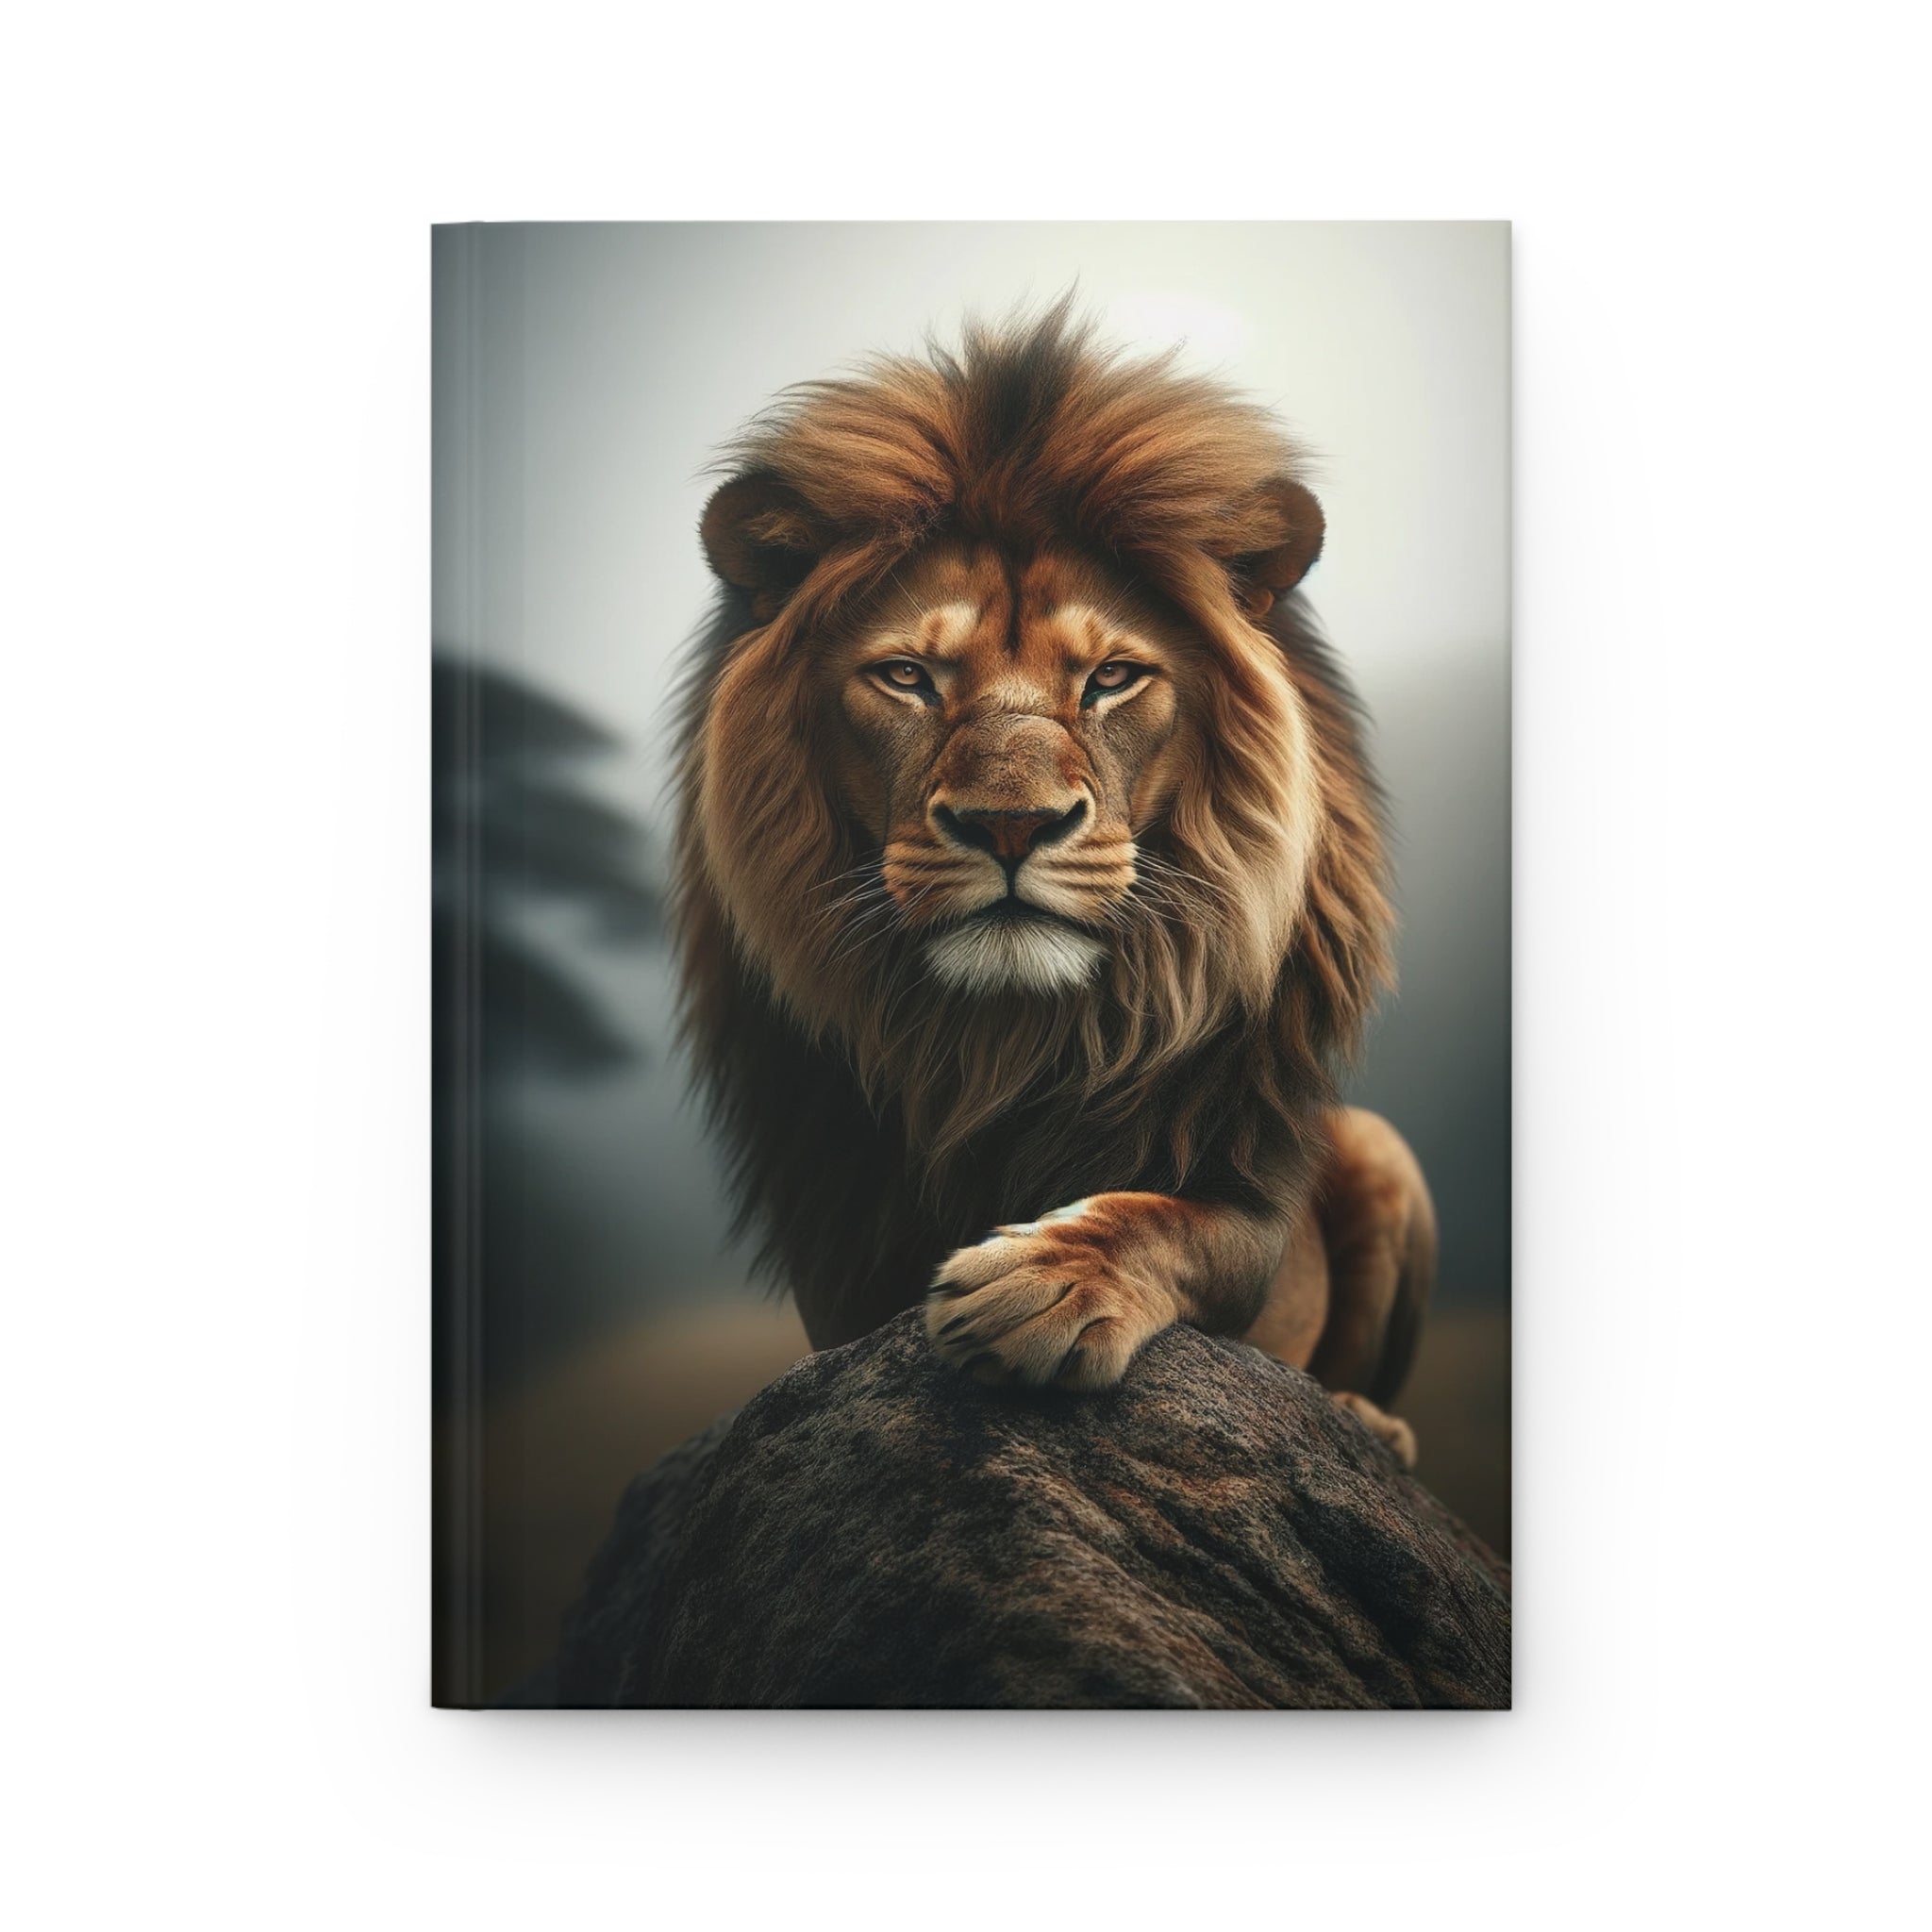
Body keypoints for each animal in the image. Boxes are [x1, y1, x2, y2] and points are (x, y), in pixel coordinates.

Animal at [672, 301, 1435, 1464]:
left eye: (1111, 676)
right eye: (907, 675)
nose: (1010, 824)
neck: (1008, 1039)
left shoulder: (1247, 1203)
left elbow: (1166, 1220)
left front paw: (1038, 1286)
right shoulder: (838, 1260)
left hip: (1384, 1152)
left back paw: (1370, 1423)